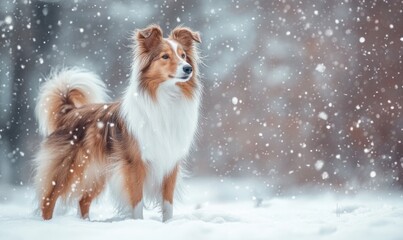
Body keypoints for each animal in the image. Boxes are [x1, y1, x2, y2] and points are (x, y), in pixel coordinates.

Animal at [33, 24, 202, 221]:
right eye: (165, 56)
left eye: (183, 55)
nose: (188, 68)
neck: (166, 99)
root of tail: (70, 112)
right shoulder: (134, 163)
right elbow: (137, 202)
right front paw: (138, 223)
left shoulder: (170, 163)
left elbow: (168, 204)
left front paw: (167, 224)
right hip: (67, 169)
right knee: (49, 200)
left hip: (98, 172)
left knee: (83, 200)